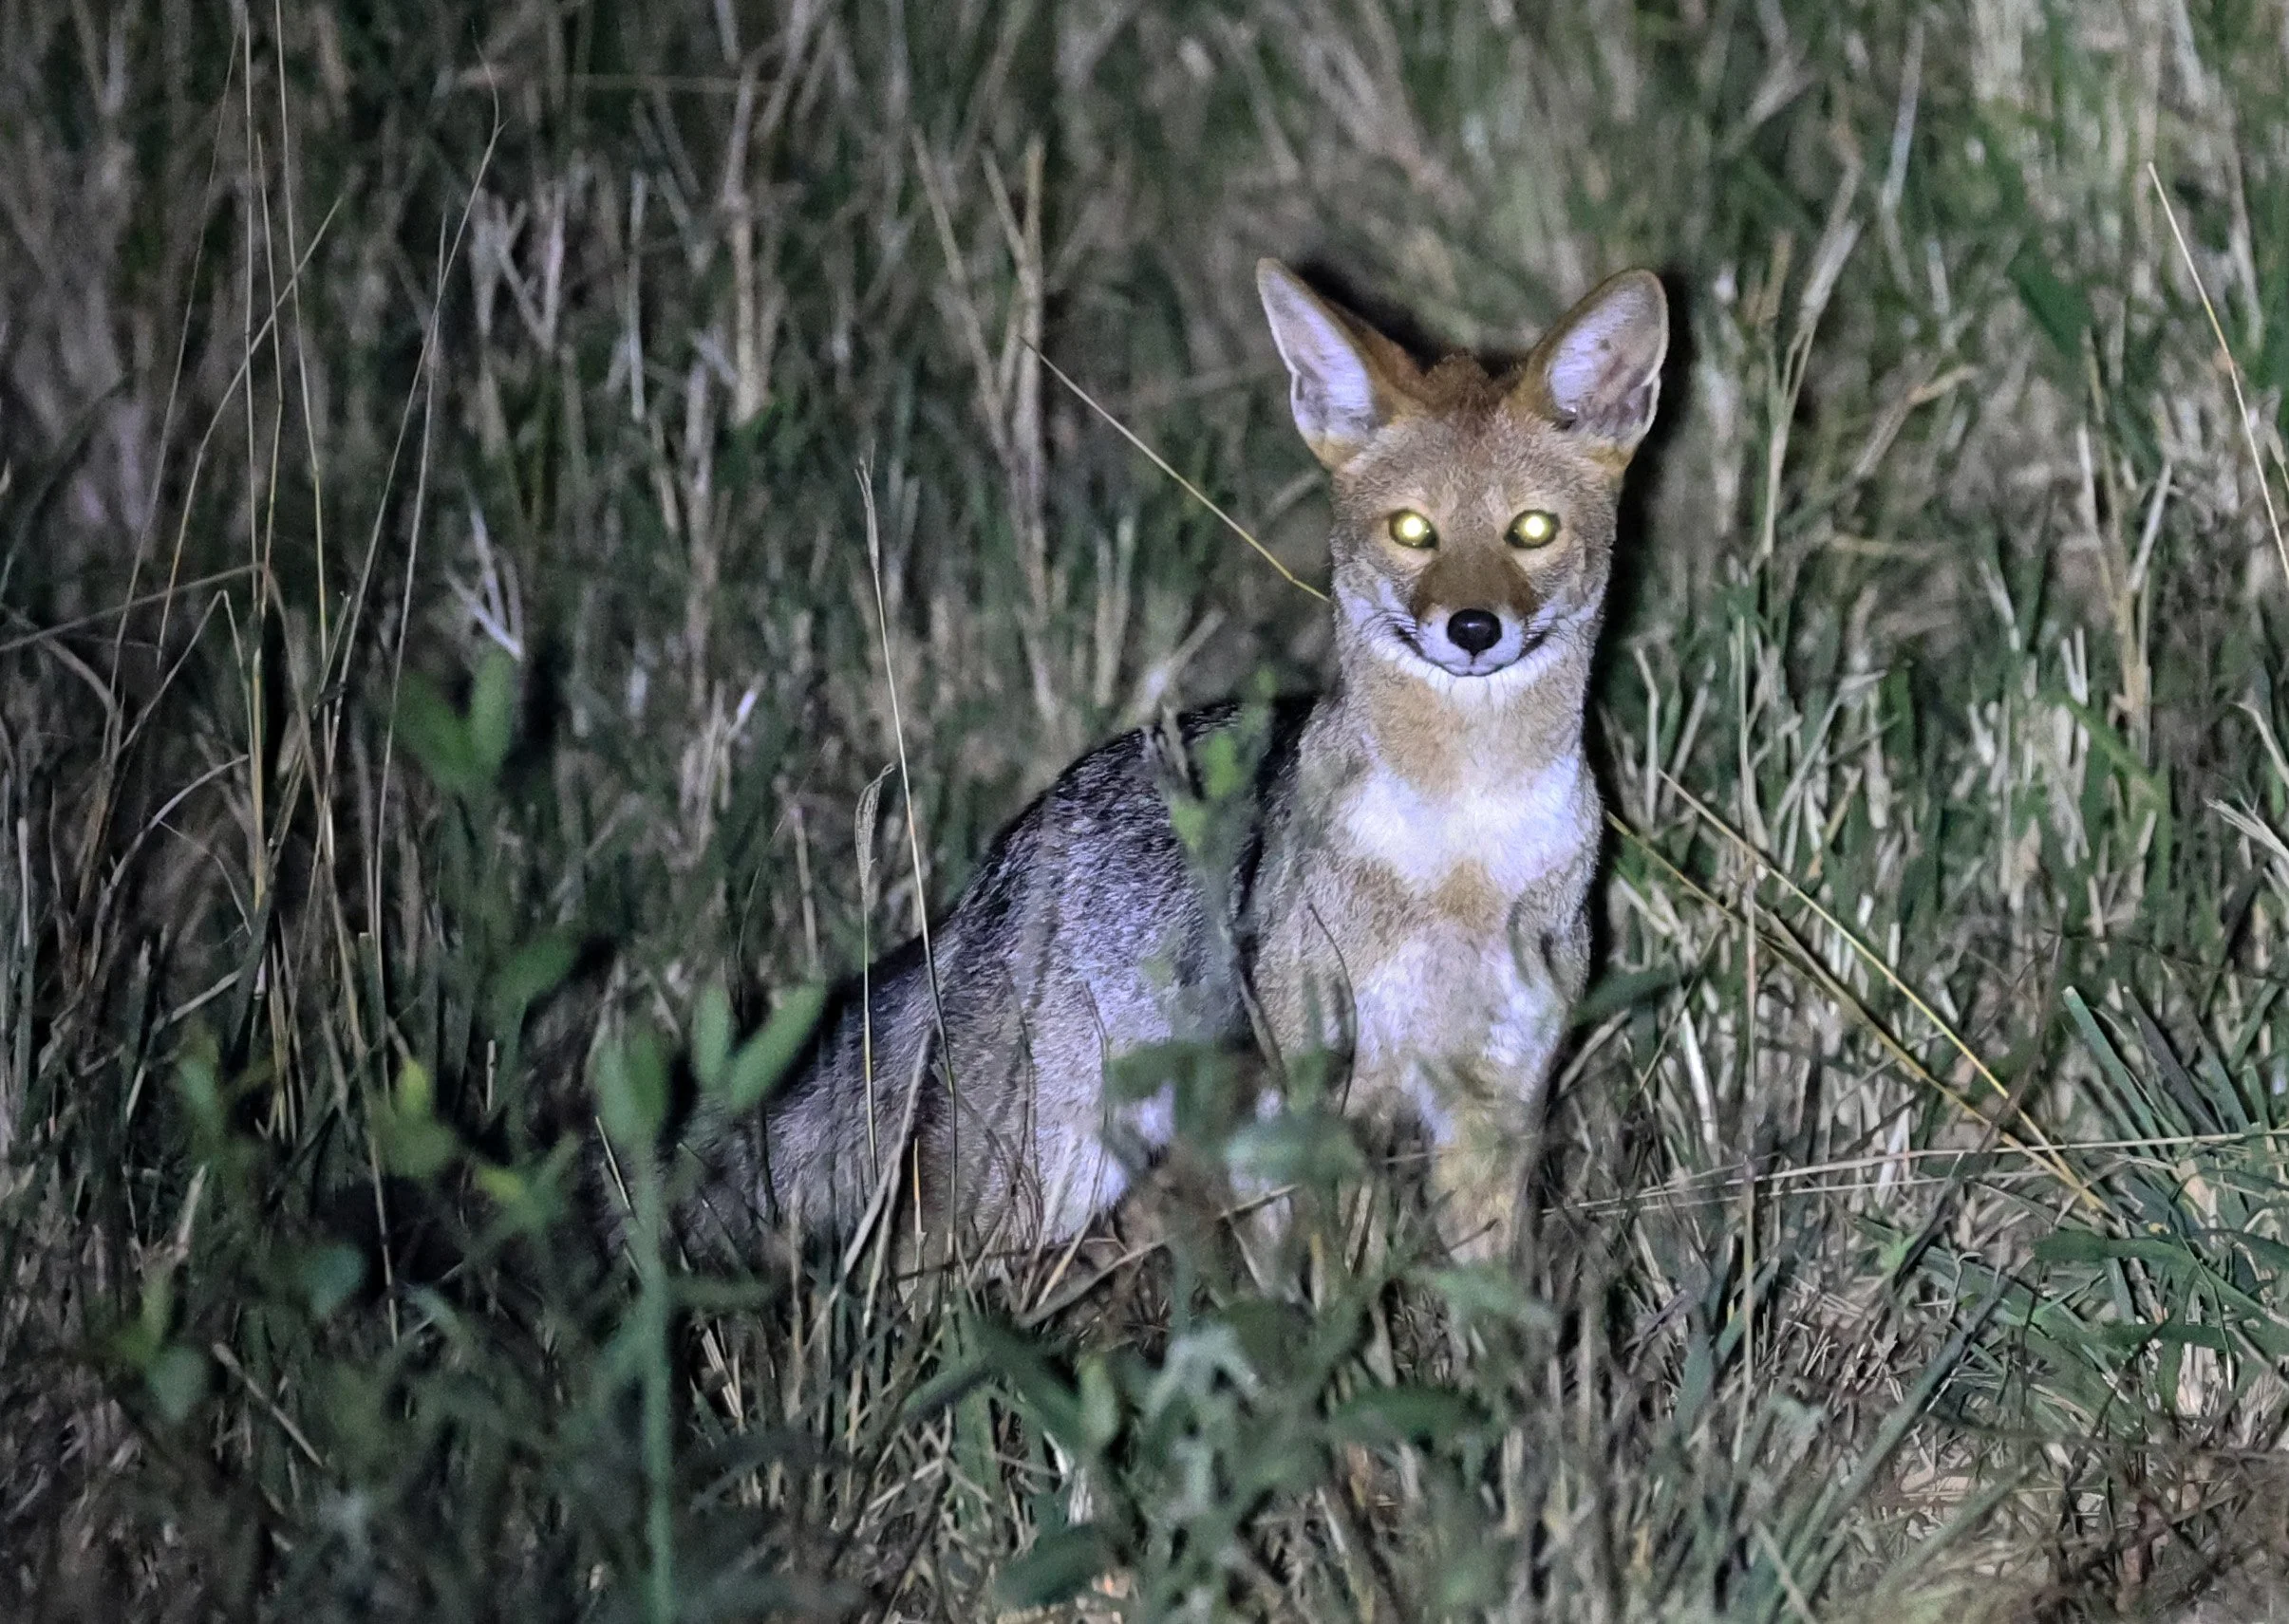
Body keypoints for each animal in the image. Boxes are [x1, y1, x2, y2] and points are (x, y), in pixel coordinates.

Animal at [701, 260, 1668, 1265]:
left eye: (1530, 530)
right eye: (1412, 531)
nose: (1473, 629)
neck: (1462, 848)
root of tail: (991, 873)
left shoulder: (1493, 1115)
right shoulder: (1324, 1104)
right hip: (1028, 1190)